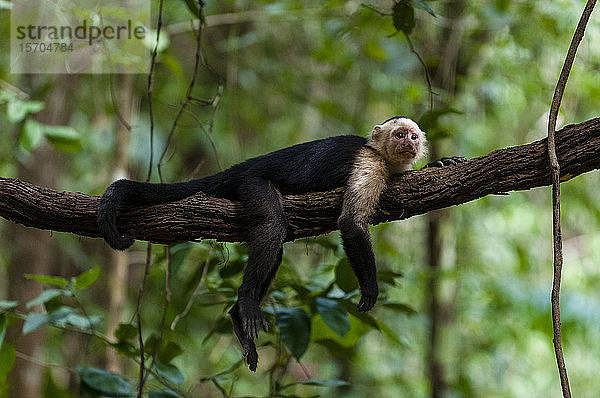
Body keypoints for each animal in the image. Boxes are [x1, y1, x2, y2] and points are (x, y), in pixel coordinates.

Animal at [97, 116, 464, 370]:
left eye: (413, 135)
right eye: (399, 134)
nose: (409, 143)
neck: (382, 155)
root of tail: (243, 166)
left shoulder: (389, 168)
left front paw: (439, 163)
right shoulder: (369, 163)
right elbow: (352, 223)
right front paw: (370, 287)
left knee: (276, 246)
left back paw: (237, 316)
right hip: (252, 183)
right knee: (273, 227)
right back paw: (245, 301)